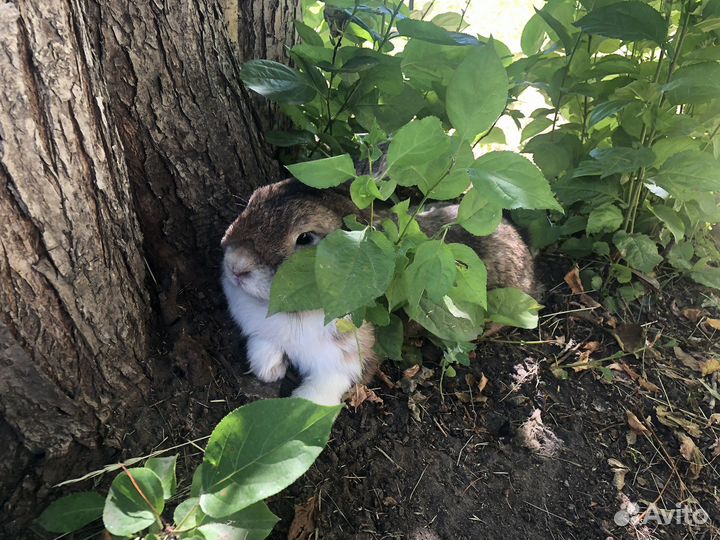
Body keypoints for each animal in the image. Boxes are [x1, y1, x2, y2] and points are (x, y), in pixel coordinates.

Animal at [221, 178, 537, 405]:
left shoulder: (348, 359)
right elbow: (264, 345)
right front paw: (268, 370)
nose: (236, 266)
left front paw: (300, 405)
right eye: (254, 200)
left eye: (305, 238)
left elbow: (326, 388)